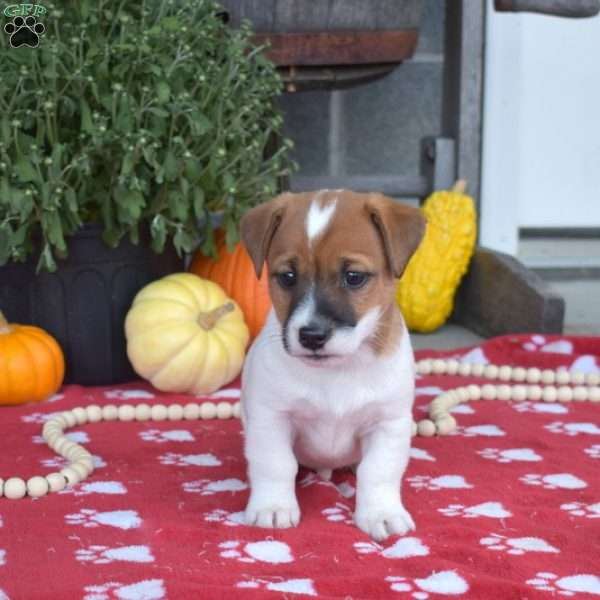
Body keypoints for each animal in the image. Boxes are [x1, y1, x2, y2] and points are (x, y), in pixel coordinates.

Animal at [239, 189, 426, 540]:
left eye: (353, 277)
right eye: (288, 277)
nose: (311, 336)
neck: (338, 371)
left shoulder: (388, 423)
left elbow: (378, 471)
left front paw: (381, 513)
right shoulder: (271, 418)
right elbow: (275, 464)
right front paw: (273, 506)